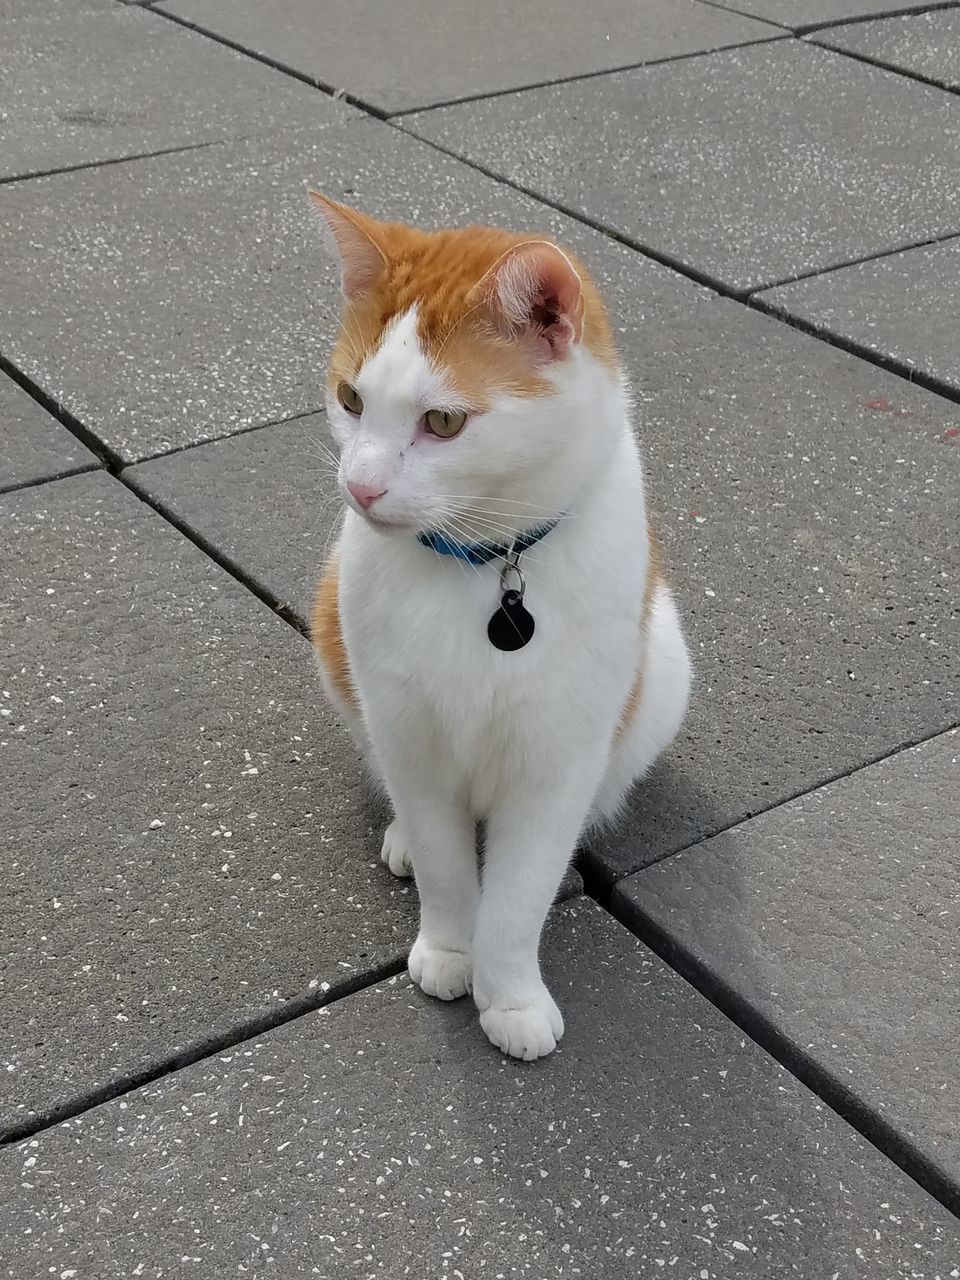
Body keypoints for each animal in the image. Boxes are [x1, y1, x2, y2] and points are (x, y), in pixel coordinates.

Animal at [308, 194, 691, 1059]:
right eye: (351, 401)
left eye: (444, 422)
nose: (360, 487)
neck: (486, 563)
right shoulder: (411, 738)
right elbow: (451, 870)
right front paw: (452, 950)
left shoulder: (555, 762)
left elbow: (517, 898)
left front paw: (510, 993)